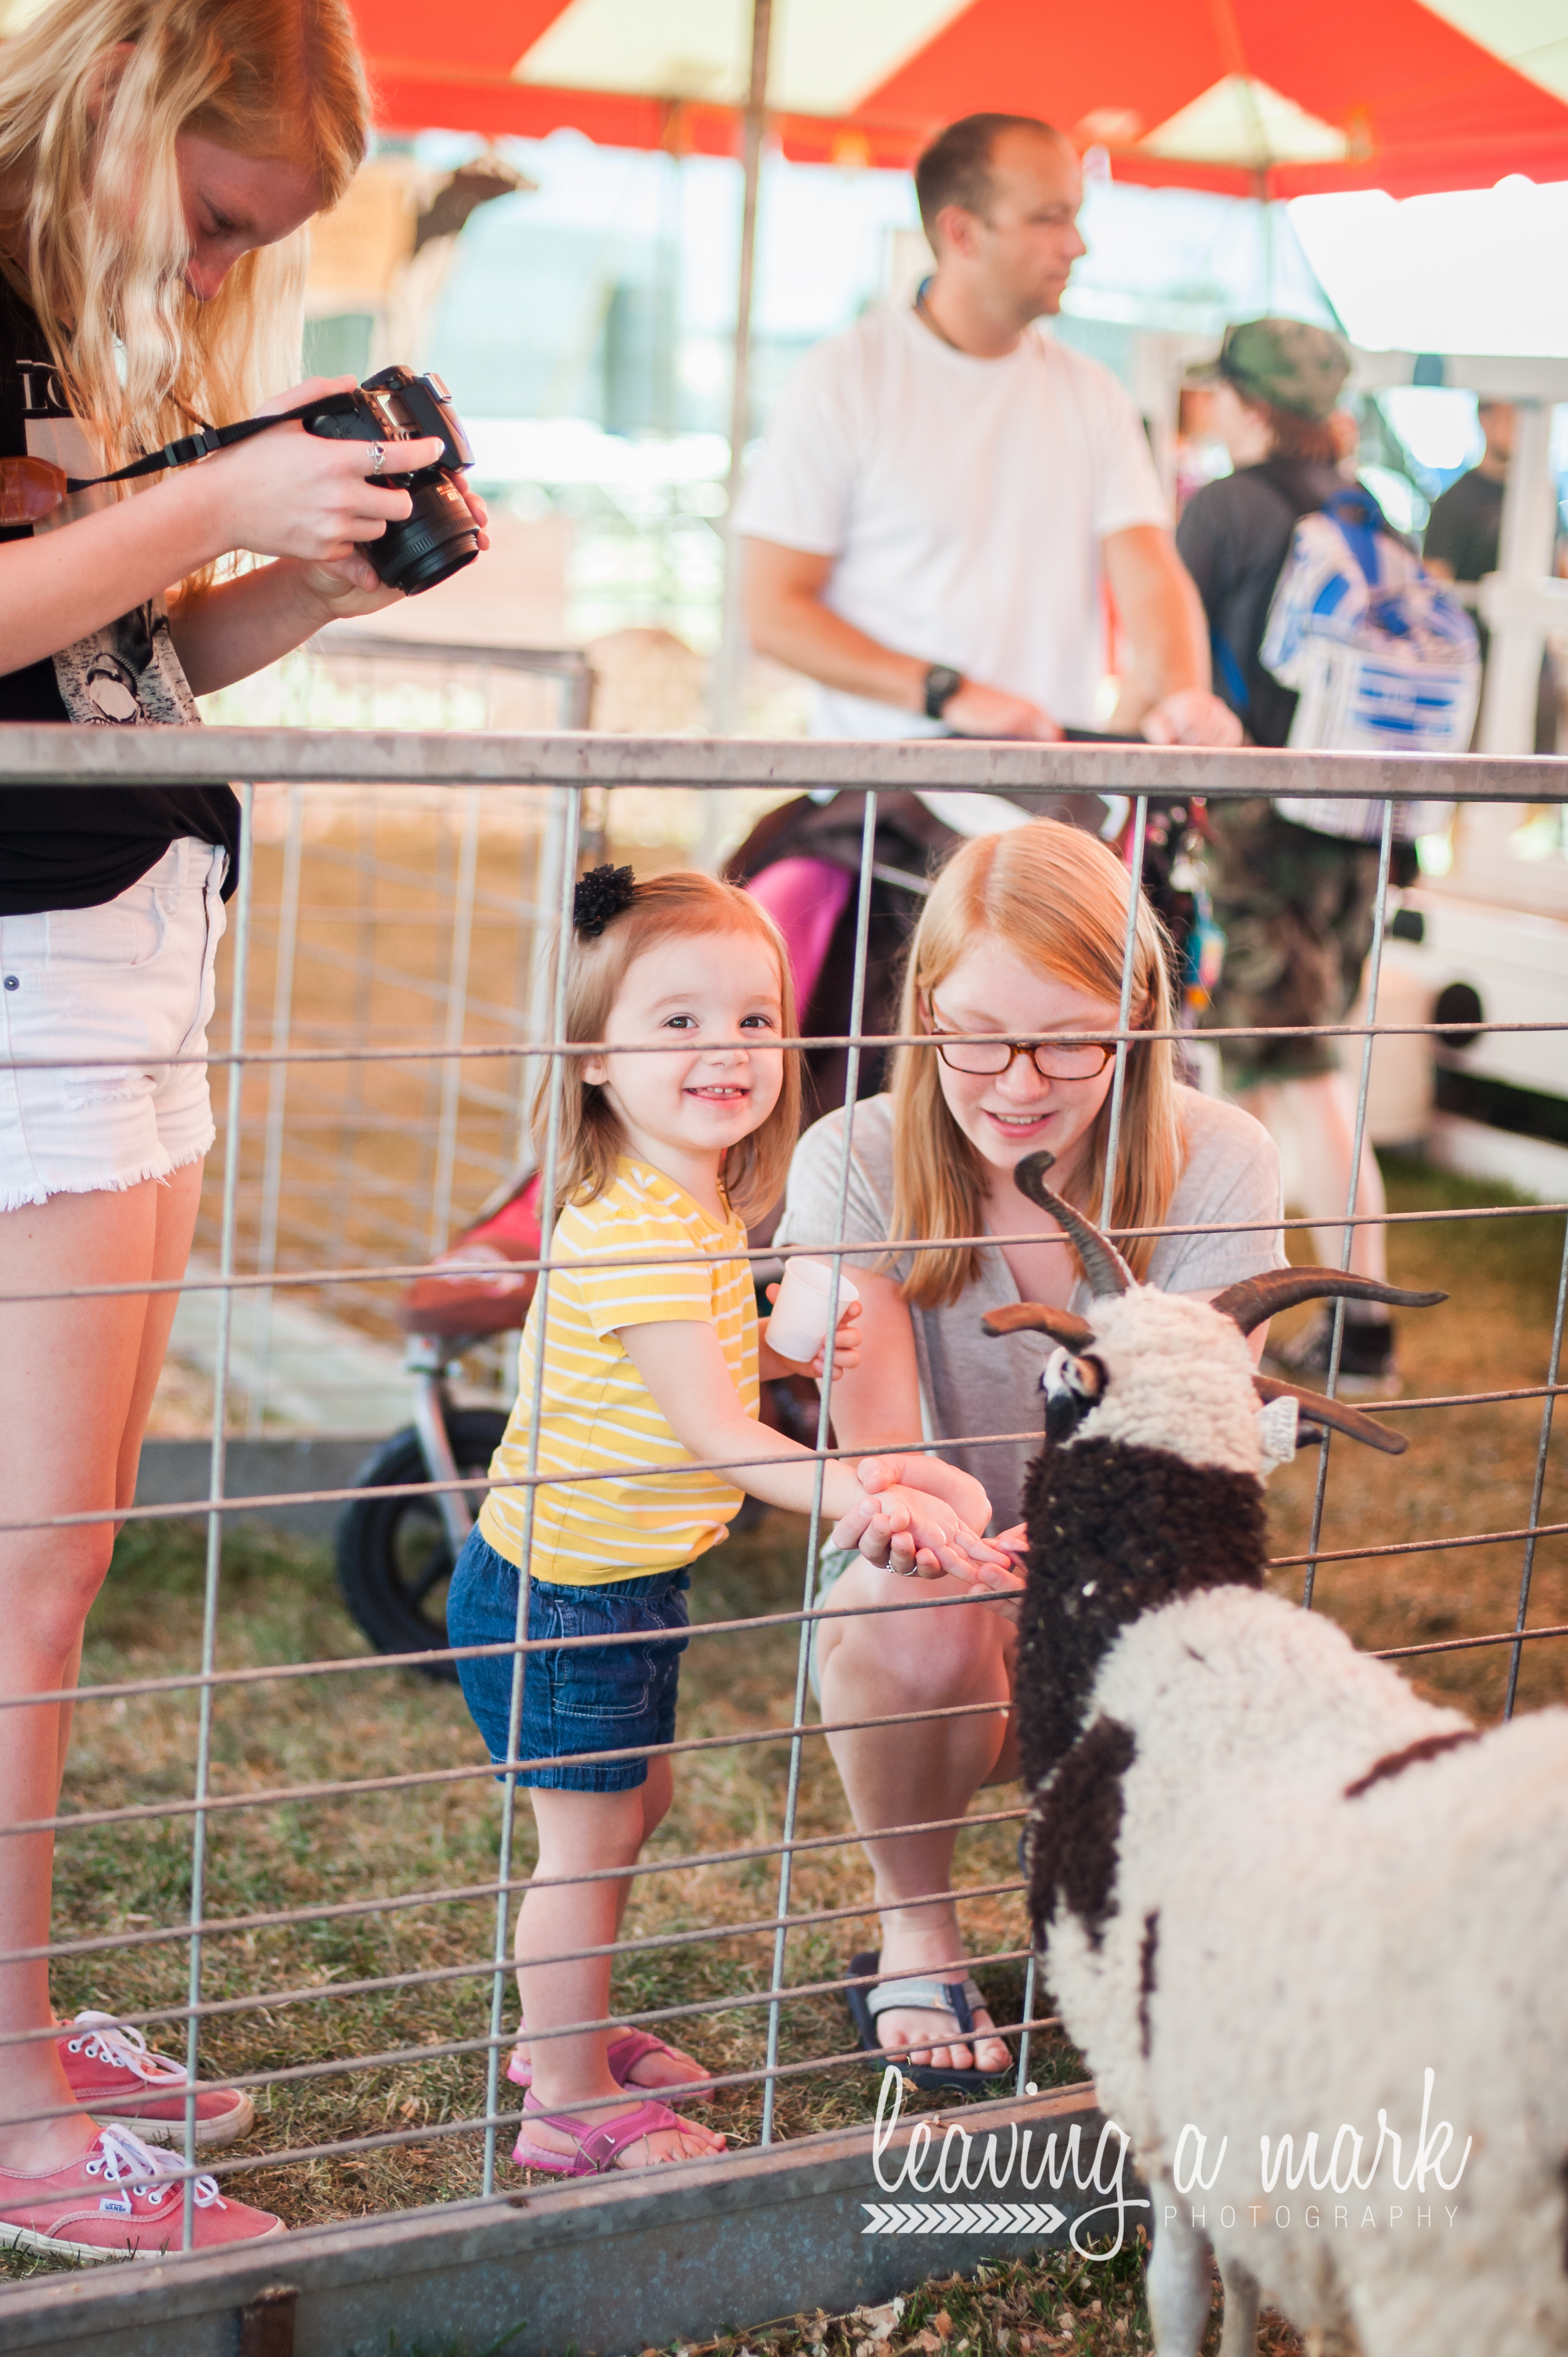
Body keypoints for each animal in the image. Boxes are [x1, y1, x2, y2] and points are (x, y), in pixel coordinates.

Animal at [990, 1155, 1565, 2357]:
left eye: (1058, 1383)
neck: (1161, 1613)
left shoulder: (1153, 2082)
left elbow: (1179, 2281)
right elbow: (1249, 2276)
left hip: (1465, 2274)